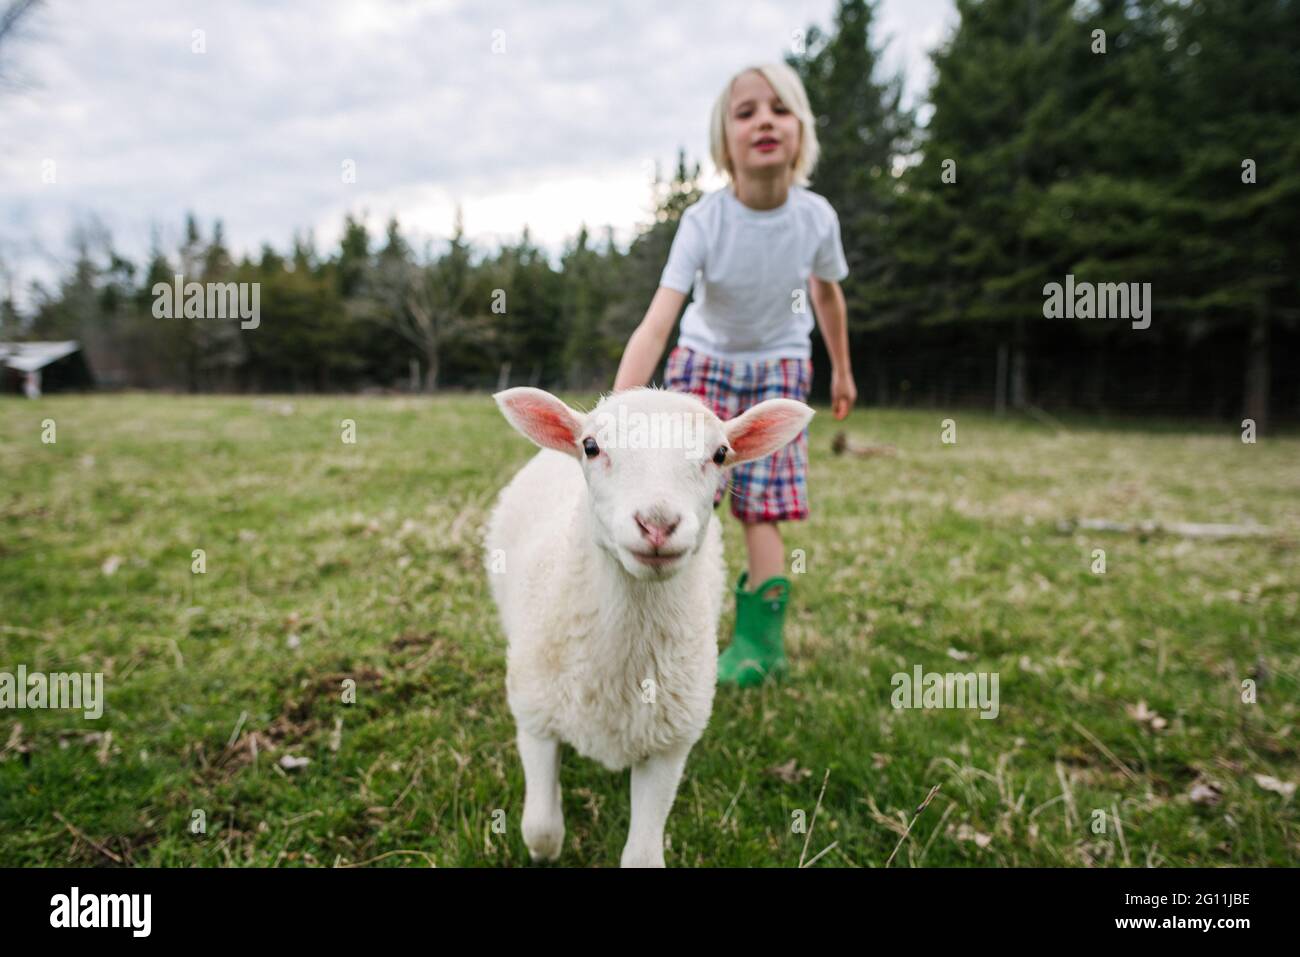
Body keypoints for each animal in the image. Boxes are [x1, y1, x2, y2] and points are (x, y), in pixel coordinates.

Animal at [486, 382, 811, 868]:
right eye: (591, 446)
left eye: (720, 454)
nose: (657, 523)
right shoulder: (535, 716)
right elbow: (541, 829)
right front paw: (547, 839)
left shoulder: (669, 744)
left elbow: (641, 856)